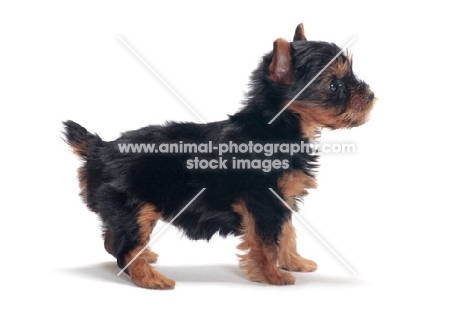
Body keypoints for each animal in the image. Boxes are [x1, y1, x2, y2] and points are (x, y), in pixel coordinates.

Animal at [64, 23, 374, 290]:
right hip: (134, 207)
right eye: (334, 85)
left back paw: (146, 257)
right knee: (125, 248)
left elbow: (286, 232)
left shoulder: (281, 199)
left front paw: (293, 262)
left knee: (112, 240)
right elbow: (266, 241)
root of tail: (100, 148)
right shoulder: (262, 200)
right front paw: (273, 275)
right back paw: (150, 277)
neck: (275, 127)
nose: (370, 95)